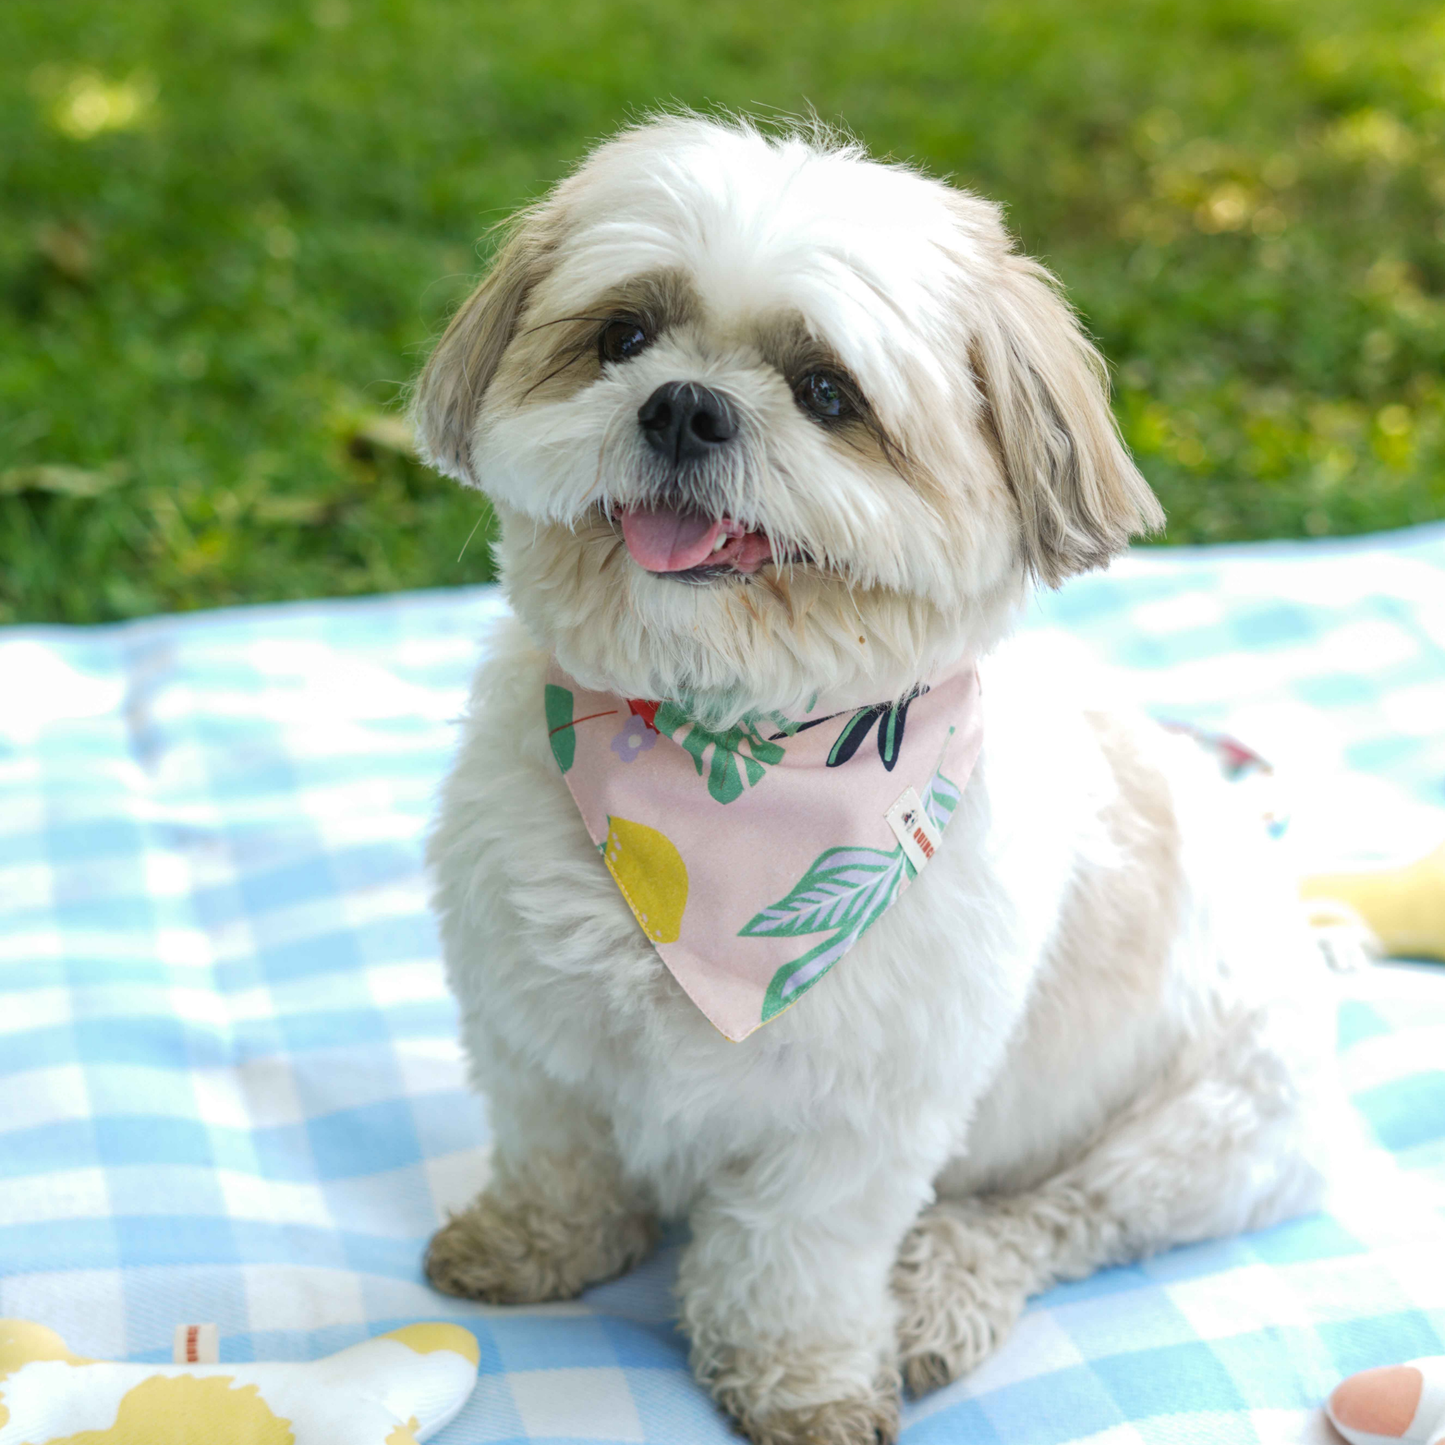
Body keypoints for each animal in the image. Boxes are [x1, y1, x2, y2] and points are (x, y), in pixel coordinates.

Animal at [413, 115, 1335, 1445]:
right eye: (623, 335)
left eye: (826, 391)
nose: (684, 405)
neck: (720, 757)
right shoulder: (533, 1031)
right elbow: (557, 1156)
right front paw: (534, 1243)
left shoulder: (854, 1117)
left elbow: (790, 1256)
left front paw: (799, 1381)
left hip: (1205, 1134)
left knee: (1054, 1215)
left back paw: (942, 1288)